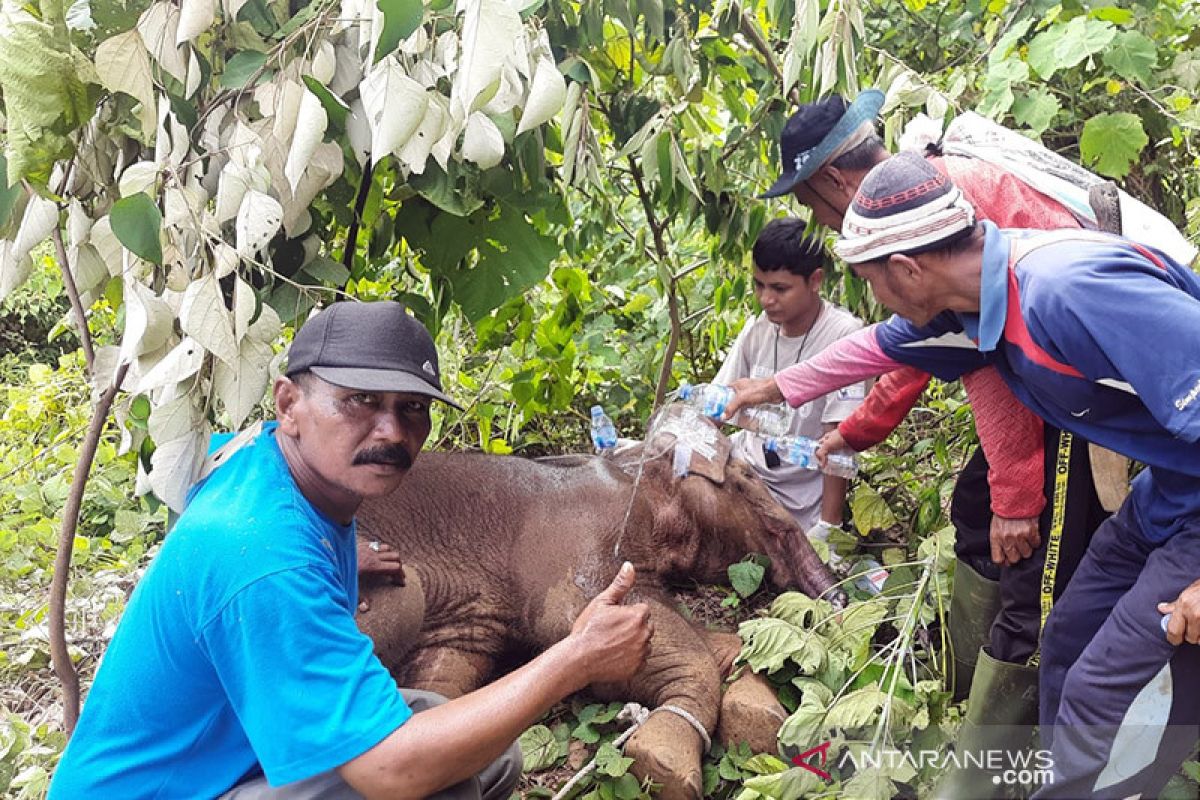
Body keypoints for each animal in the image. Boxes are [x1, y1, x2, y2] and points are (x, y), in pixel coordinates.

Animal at [355, 410, 840, 796]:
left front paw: (758, 713)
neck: (632, 469)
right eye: (747, 478)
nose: (836, 594)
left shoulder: (467, 620)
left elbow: (444, 679)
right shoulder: (575, 539)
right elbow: (582, 618)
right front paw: (666, 766)